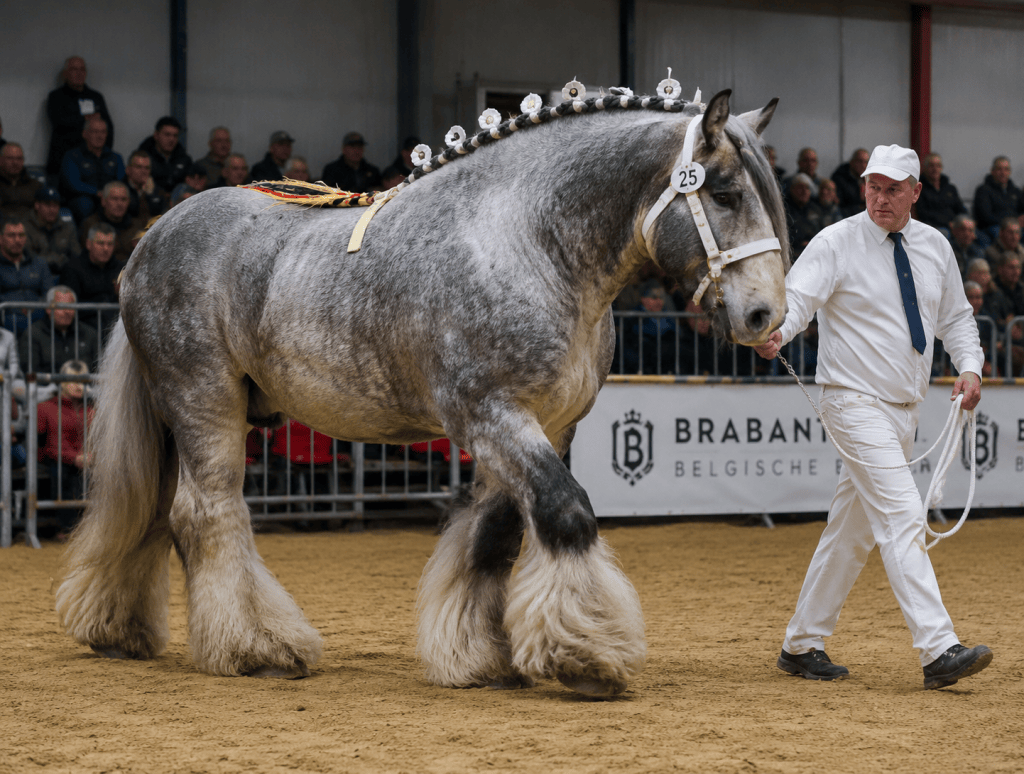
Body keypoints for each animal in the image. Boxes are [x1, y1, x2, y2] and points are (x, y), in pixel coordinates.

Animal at [56, 86, 790, 697]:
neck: (523, 240)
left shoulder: (545, 427)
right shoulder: (491, 417)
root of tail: (151, 237)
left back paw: (122, 630)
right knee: (206, 514)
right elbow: (566, 513)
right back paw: (254, 648)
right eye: (725, 193)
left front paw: (482, 658)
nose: (766, 316)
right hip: (204, 401)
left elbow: (494, 538)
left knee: (158, 513)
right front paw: (587, 656)